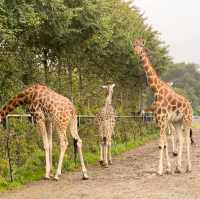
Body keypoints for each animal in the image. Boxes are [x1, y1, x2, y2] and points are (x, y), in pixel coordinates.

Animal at [132, 39, 193, 175]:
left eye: (142, 46)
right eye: (134, 46)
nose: (137, 53)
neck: (156, 90)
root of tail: (190, 105)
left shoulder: (162, 119)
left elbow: (161, 144)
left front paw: (159, 170)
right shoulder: (160, 120)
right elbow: (164, 144)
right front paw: (168, 168)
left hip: (187, 120)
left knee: (187, 140)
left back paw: (188, 168)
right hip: (177, 121)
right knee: (181, 139)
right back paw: (178, 168)